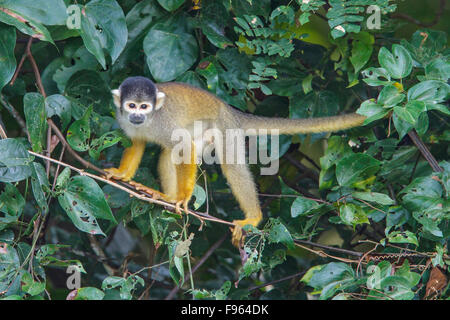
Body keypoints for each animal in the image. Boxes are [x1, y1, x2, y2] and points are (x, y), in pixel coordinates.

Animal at [105, 76, 366, 246]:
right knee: (169, 153)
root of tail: (231, 111)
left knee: (225, 164)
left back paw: (252, 217)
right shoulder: (125, 120)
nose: (136, 115)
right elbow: (137, 143)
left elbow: (184, 147)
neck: (149, 121)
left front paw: (183, 198)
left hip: (223, 128)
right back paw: (167, 197)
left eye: (144, 107)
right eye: (131, 105)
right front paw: (122, 174)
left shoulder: (164, 123)